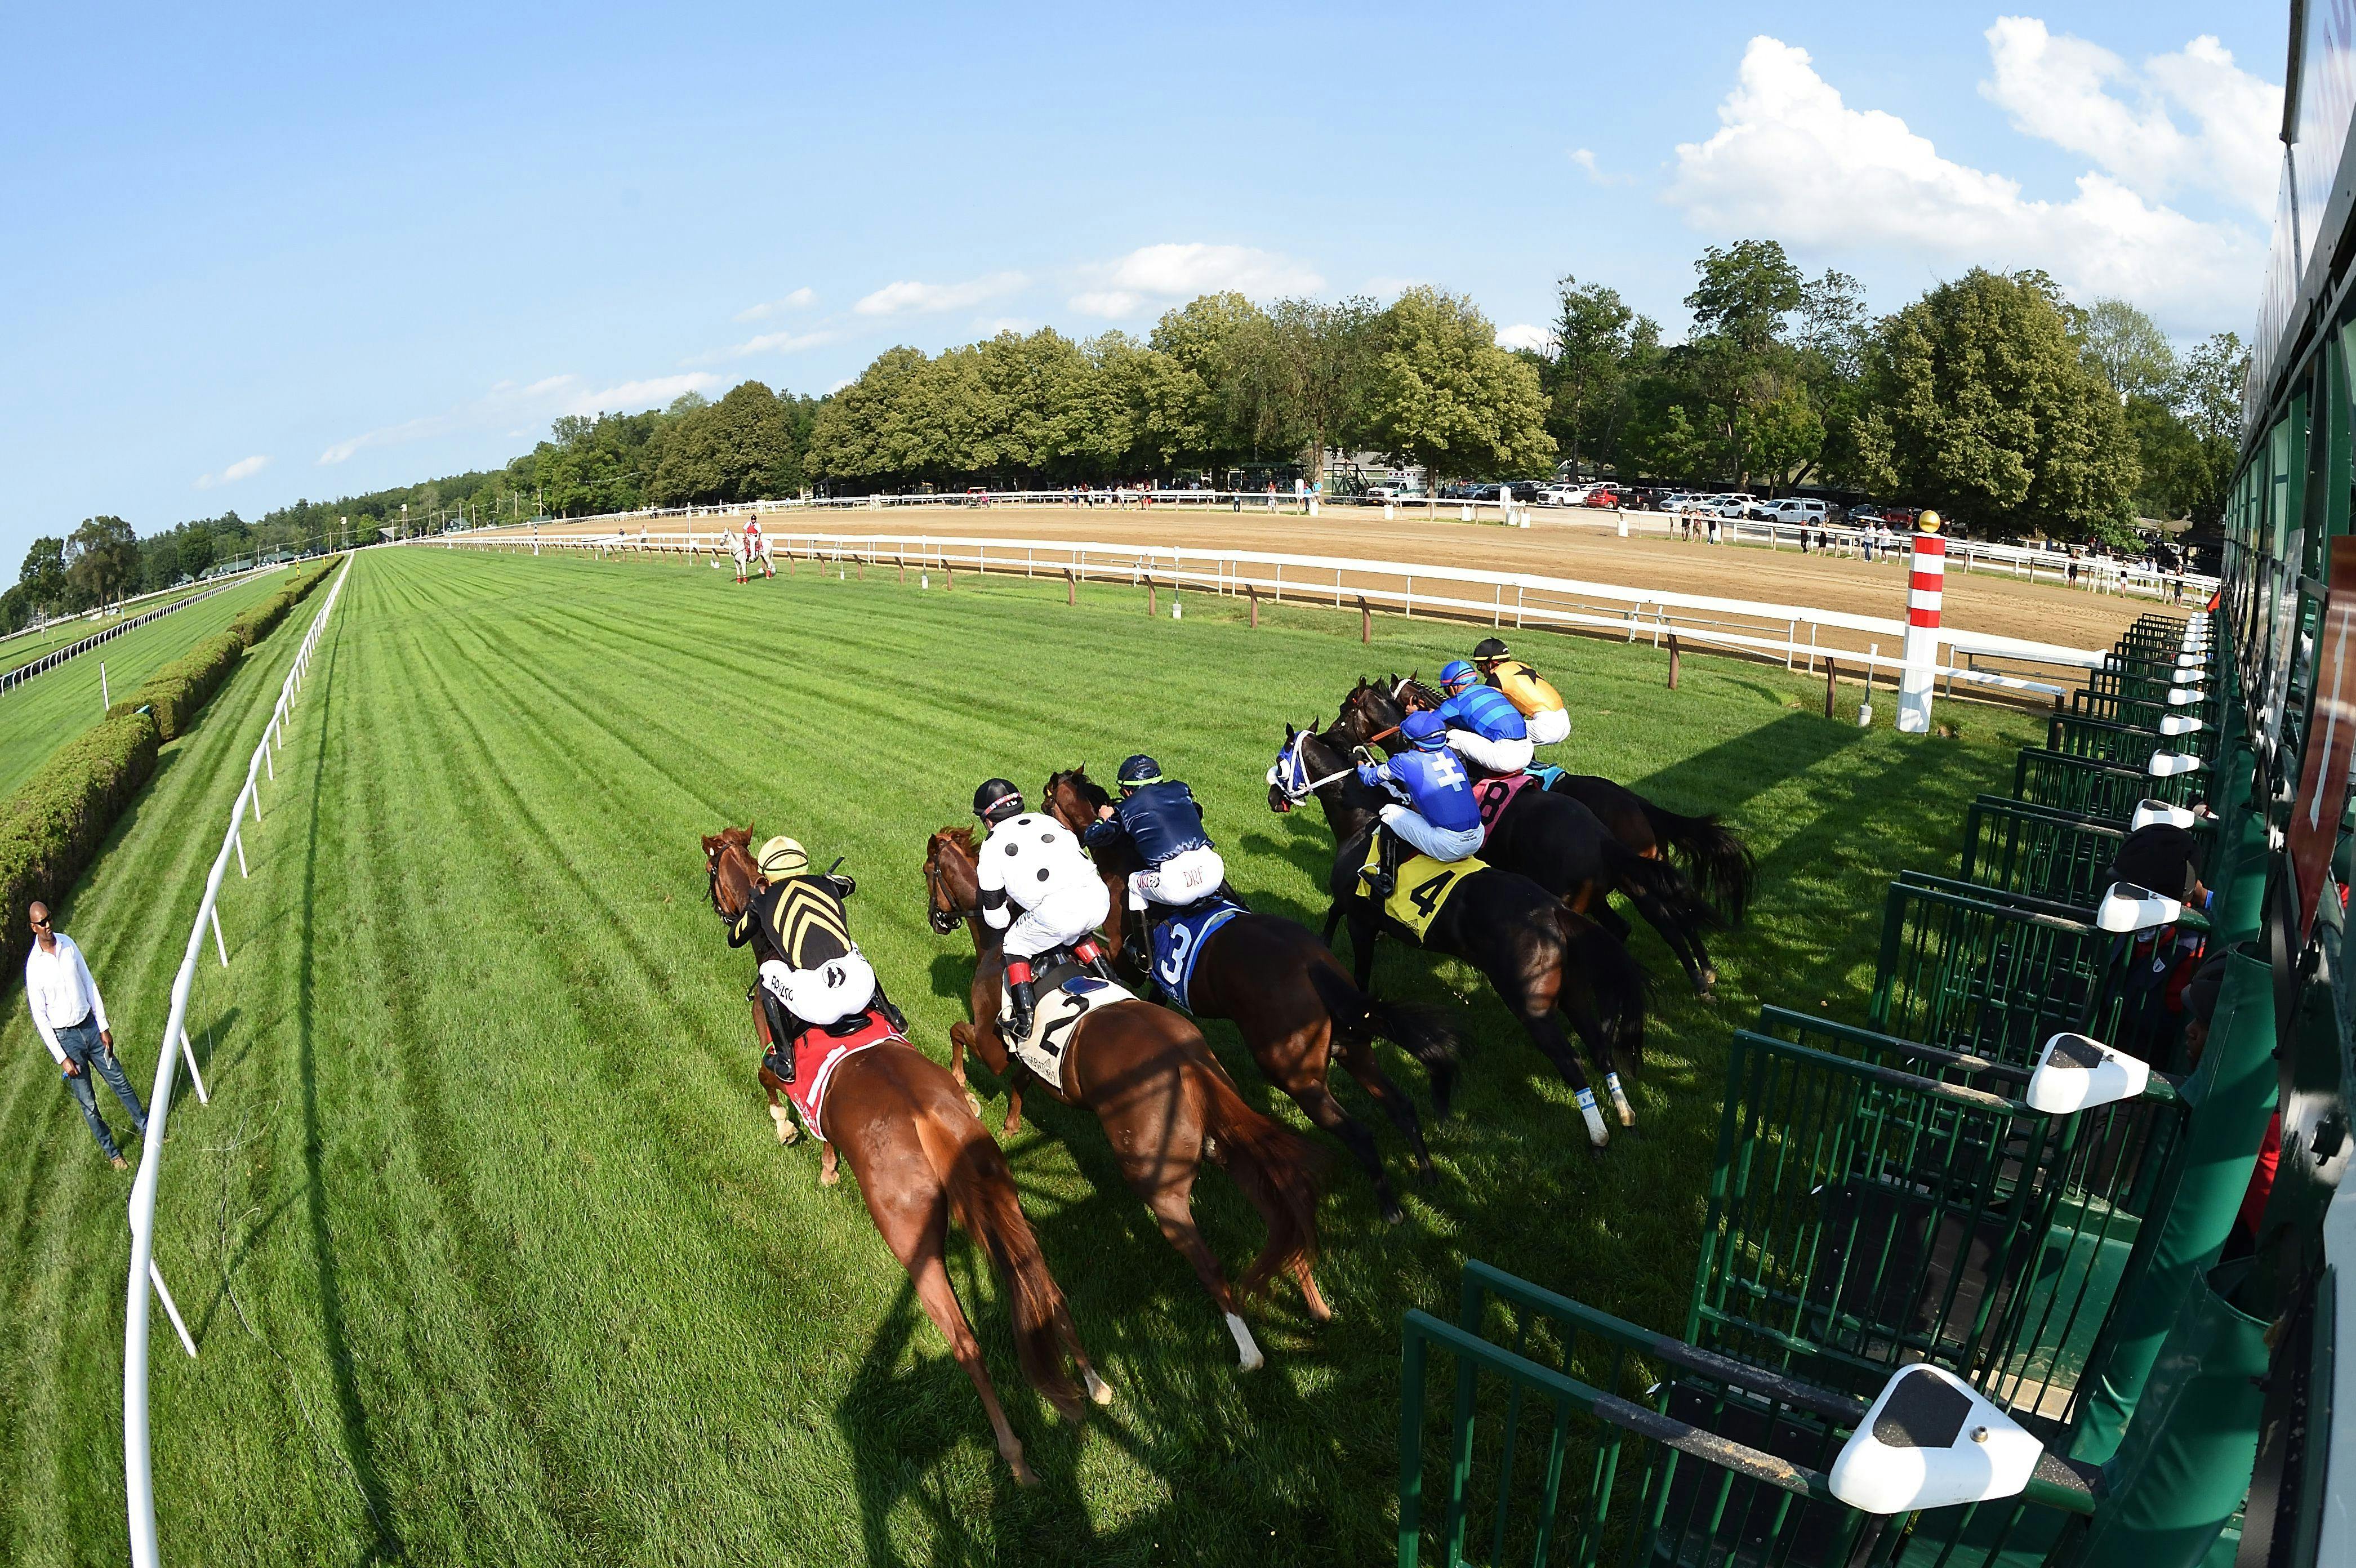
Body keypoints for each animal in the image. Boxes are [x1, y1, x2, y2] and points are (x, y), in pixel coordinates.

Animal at [692, 828, 1107, 1478]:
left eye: (711, 873)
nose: (715, 909)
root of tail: (927, 1121)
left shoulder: (769, 1042)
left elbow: (770, 1081)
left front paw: (787, 1131)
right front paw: (827, 1167)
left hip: (910, 1236)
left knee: (965, 1341)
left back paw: (1013, 1454)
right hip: (1001, 1190)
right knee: (1044, 1284)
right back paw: (1092, 1381)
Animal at [919, 824, 1329, 1365]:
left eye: (930, 871)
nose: (935, 919)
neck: (1000, 943)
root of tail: (1187, 1061)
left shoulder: (994, 1043)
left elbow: (960, 1034)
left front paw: (963, 1089)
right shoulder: (1020, 1054)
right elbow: (1022, 1080)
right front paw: (1010, 1121)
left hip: (1160, 1184)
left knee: (1210, 1265)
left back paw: (1248, 1352)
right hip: (1227, 1147)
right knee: (1280, 1211)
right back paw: (1315, 1300)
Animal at [1046, 763, 1460, 1224]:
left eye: (1047, 799)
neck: (1124, 862)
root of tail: (1313, 965)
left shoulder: (1126, 961)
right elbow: (1154, 1002)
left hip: (1295, 1073)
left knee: (1360, 1133)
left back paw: (1390, 1207)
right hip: (1354, 1048)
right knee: (1401, 1105)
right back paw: (1426, 1173)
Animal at [1272, 720, 1640, 1148]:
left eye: (1281, 760)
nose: (1271, 797)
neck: (1362, 820)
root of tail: (1554, 912)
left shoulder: (1362, 921)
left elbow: (1359, 973)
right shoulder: (1354, 906)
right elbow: (1333, 911)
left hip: (1531, 1005)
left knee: (1572, 1062)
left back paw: (1598, 1136)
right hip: (1572, 993)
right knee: (1598, 1047)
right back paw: (1624, 1112)